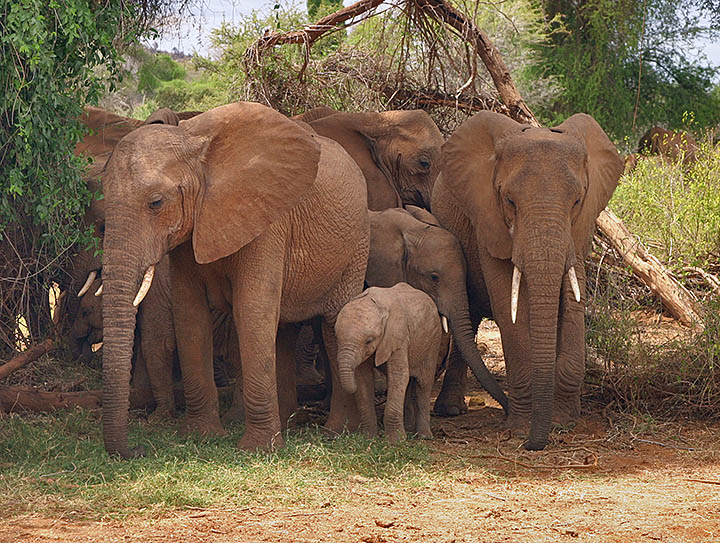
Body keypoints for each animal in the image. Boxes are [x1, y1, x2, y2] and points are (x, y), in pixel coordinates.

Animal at [100, 102, 372, 460]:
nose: (138, 449)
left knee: (333, 323)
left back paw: (338, 432)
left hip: (357, 244)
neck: (196, 149)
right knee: (283, 331)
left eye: (156, 203)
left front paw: (259, 450)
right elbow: (190, 316)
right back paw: (286, 423)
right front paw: (201, 435)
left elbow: (251, 311)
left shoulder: (267, 220)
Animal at [336, 284, 448, 442]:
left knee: (424, 384)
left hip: (433, 341)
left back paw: (424, 436)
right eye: (337, 338)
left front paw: (396, 441)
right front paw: (368, 438)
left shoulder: (398, 335)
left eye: (369, 341)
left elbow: (399, 375)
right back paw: (409, 429)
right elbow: (363, 379)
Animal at [434, 110, 624, 450]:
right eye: (509, 201)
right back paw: (451, 411)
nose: (535, 444)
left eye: (577, 202)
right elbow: (508, 307)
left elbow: (573, 303)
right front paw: (522, 429)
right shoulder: (487, 219)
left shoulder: (579, 231)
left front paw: (564, 422)